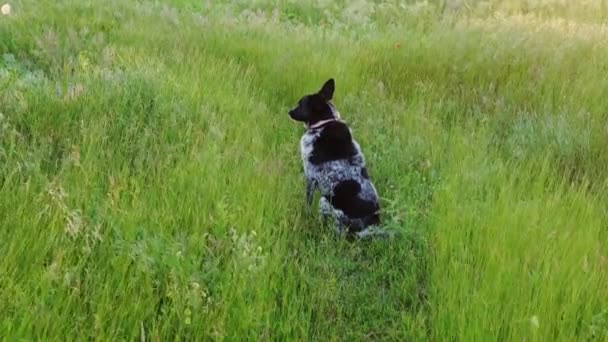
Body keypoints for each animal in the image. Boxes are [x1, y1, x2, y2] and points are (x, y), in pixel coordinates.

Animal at [288, 79, 382, 238]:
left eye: (301, 104)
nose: (289, 111)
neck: (324, 123)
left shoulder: (310, 176)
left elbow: (307, 202)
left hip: (325, 202)